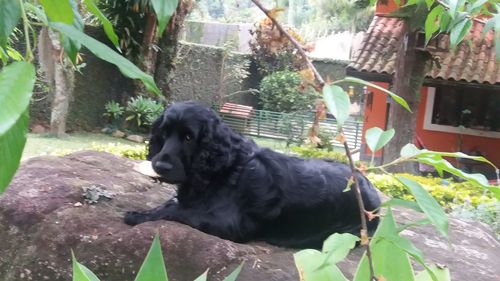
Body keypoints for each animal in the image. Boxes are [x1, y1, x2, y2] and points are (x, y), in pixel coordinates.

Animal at [124, 100, 378, 247]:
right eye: (164, 133)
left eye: (188, 137)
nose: (160, 166)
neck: (226, 167)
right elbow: (170, 204)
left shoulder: (227, 223)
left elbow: (177, 211)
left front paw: (137, 216)